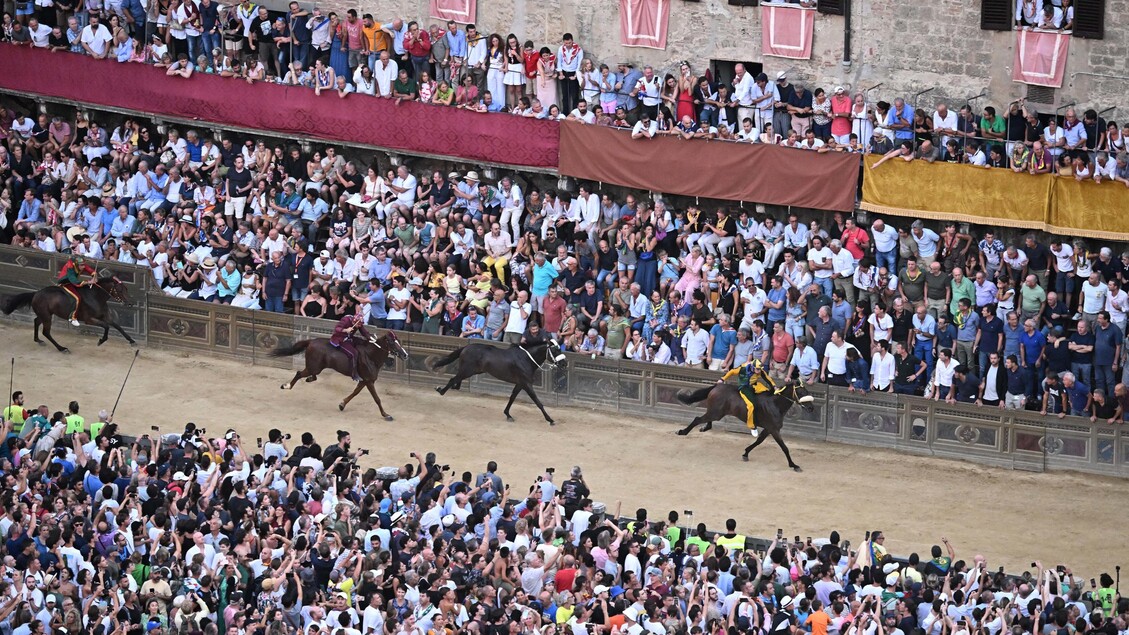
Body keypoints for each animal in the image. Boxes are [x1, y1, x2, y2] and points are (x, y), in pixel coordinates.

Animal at [1, 275, 134, 352]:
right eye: (119, 290)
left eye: (126, 289)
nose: (130, 303)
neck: (95, 297)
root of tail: (36, 293)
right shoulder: (89, 319)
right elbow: (106, 326)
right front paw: (101, 341)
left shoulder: (105, 316)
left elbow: (117, 326)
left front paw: (132, 340)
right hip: (47, 316)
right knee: (46, 332)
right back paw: (61, 348)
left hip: (45, 314)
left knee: (36, 321)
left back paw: (38, 340)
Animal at [268, 327, 410, 418]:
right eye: (392, 342)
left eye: (398, 341)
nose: (405, 355)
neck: (371, 355)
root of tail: (311, 341)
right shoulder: (369, 381)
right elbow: (377, 399)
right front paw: (386, 414)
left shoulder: (364, 380)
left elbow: (355, 393)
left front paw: (342, 404)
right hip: (314, 367)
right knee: (298, 373)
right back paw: (287, 386)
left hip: (317, 367)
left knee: (311, 376)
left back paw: (308, 379)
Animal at [435, 338, 569, 422]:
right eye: (555, 350)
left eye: (560, 349)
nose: (564, 363)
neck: (526, 359)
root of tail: (467, 346)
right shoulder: (526, 383)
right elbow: (537, 401)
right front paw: (550, 419)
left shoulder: (520, 383)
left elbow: (512, 397)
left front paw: (508, 414)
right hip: (467, 370)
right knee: (453, 379)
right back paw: (440, 390)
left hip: (473, 371)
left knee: (456, 381)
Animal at [672, 377, 817, 467]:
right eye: (801, 392)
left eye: (807, 391)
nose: (811, 408)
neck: (775, 404)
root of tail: (716, 387)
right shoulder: (774, 429)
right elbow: (784, 447)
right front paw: (794, 465)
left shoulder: (769, 428)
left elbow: (759, 441)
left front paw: (746, 453)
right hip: (716, 412)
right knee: (697, 419)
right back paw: (682, 431)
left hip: (717, 412)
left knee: (707, 421)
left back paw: (704, 428)